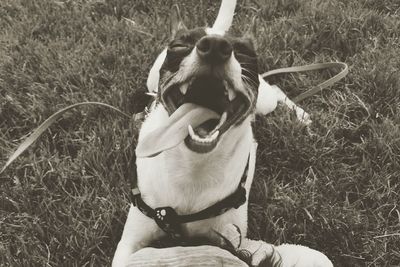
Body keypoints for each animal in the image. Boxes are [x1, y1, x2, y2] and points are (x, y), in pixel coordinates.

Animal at [112, 1, 332, 266]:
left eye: (244, 52)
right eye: (179, 46)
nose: (216, 47)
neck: (193, 167)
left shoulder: (235, 239)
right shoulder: (129, 243)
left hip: (265, 101)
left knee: (277, 91)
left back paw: (301, 116)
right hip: (151, 79)